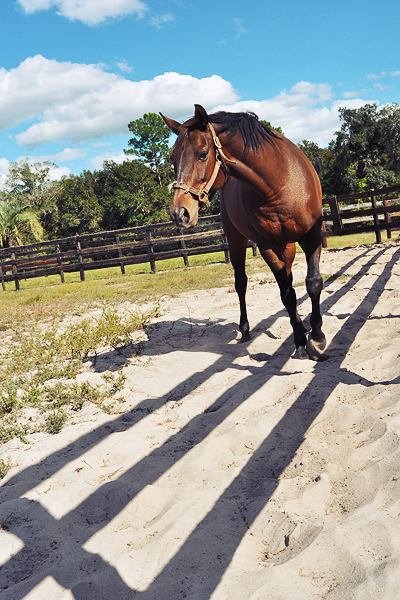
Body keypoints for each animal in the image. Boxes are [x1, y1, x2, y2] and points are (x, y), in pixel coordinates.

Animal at [161, 105, 326, 358]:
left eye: (202, 154)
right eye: (172, 158)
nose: (179, 213)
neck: (280, 183)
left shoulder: (312, 236)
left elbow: (313, 283)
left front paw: (316, 339)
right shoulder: (267, 246)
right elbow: (287, 294)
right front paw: (300, 341)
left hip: (287, 245)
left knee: (288, 278)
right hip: (236, 240)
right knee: (242, 283)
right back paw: (246, 328)